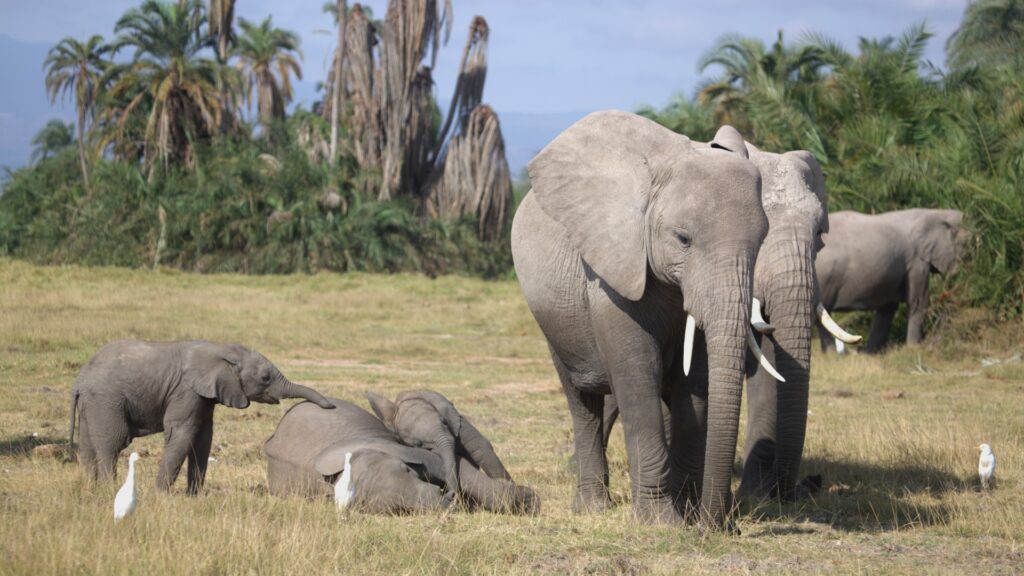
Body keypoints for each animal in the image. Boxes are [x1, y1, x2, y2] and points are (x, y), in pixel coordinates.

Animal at [68, 340, 333, 493]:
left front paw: (194, 496)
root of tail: (79, 381)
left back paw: (89, 487)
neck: (221, 349)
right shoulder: (186, 391)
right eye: (265, 378)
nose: (330, 406)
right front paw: (160, 495)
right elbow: (182, 434)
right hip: (106, 400)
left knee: (88, 446)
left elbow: (204, 438)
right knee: (112, 443)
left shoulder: (205, 395)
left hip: (92, 404)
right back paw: (108, 489)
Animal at [511, 110, 782, 530]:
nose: (720, 525)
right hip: (554, 321)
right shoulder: (613, 272)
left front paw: (687, 514)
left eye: (762, 240)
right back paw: (593, 508)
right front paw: (660, 523)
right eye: (683, 238)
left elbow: (695, 385)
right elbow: (637, 375)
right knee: (582, 401)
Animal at [815, 208, 965, 353]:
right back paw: (831, 354)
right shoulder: (916, 262)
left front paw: (869, 354)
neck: (936, 213)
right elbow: (917, 303)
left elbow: (887, 309)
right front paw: (913, 348)